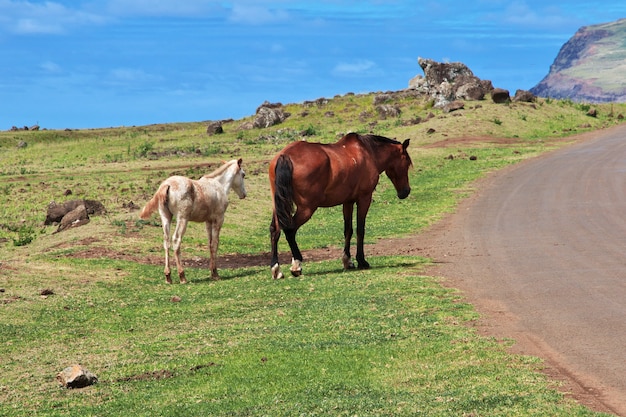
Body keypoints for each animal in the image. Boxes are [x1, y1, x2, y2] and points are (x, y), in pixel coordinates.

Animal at [266, 132, 410, 278]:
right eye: (407, 163)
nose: (406, 192)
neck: (368, 152)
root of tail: (285, 156)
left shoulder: (348, 202)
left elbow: (348, 230)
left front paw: (348, 261)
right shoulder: (364, 198)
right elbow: (360, 229)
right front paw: (361, 261)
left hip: (279, 205)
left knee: (275, 230)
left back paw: (276, 268)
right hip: (307, 208)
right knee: (290, 230)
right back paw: (296, 265)